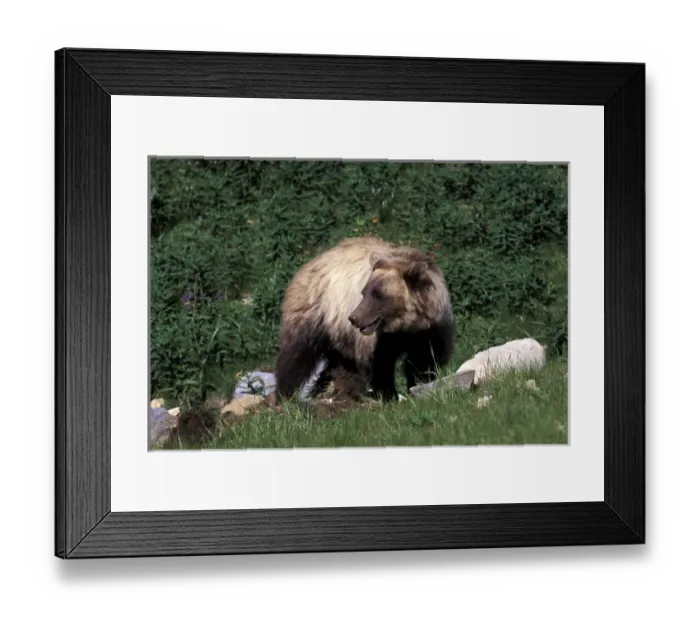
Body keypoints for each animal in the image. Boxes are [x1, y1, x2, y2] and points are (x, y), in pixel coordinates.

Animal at [274, 236, 456, 402]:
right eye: (364, 292)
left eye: (379, 295)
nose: (354, 318)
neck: (405, 324)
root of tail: (312, 262)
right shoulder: (379, 338)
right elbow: (380, 362)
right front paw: (388, 395)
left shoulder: (429, 330)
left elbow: (424, 359)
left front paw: (419, 386)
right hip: (316, 310)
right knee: (297, 353)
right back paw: (284, 395)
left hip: (339, 332)